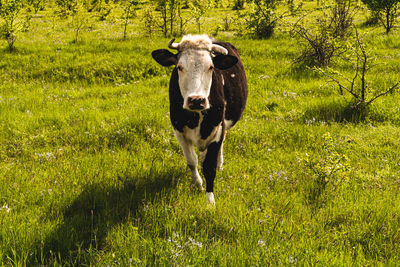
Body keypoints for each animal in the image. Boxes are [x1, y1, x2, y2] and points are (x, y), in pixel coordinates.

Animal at [152, 34, 248, 205]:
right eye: (179, 67)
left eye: (210, 67)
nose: (196, 100)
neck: (196, 117)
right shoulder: (178, 131)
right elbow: (192, 161)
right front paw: (197, 183)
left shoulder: (218, 129)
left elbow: (209, 167)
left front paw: (209, 199)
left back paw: (220, 163)